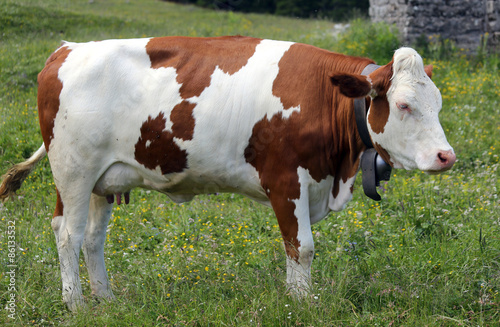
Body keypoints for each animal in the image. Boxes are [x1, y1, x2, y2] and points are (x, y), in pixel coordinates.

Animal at [0, 36, 458, 312]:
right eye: (403, 105)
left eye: (437, 104)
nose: (446, 156)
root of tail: (65, 49)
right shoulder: (285, 179)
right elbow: (302, 246)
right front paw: (302, 302)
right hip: (73, 170)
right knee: (68, 235)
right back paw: (75, 303)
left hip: (103, 179)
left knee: (92, 238)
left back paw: (107, 298)